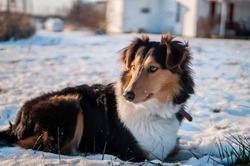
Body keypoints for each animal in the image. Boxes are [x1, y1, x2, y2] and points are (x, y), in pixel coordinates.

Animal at [0, 32, 195, 162]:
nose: (128, 94)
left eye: (153, 68)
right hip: (71, 104)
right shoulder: (135, 154)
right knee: (48, 147)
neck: (153, 111)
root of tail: (18, 119)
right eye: (133, 67)